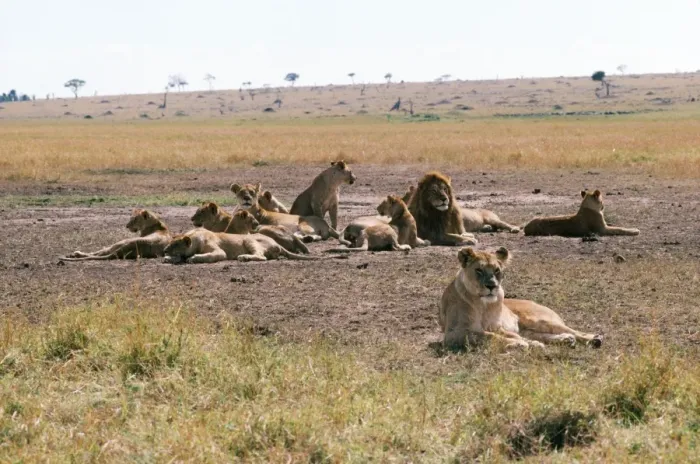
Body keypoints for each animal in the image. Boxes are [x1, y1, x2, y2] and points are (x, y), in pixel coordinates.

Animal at [439, 247, 602, 349]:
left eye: (497, 270)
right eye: (479, 270)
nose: (492, 286)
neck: (484, 305)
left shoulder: (497, 327)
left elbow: (498, 335)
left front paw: (520, 343)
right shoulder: (455, 333)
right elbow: (490, 336)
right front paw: (520, 344)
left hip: (538, 319)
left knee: (573, 331)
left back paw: (594, 338)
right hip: (529, 328)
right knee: (538, 335)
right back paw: (565, 339)